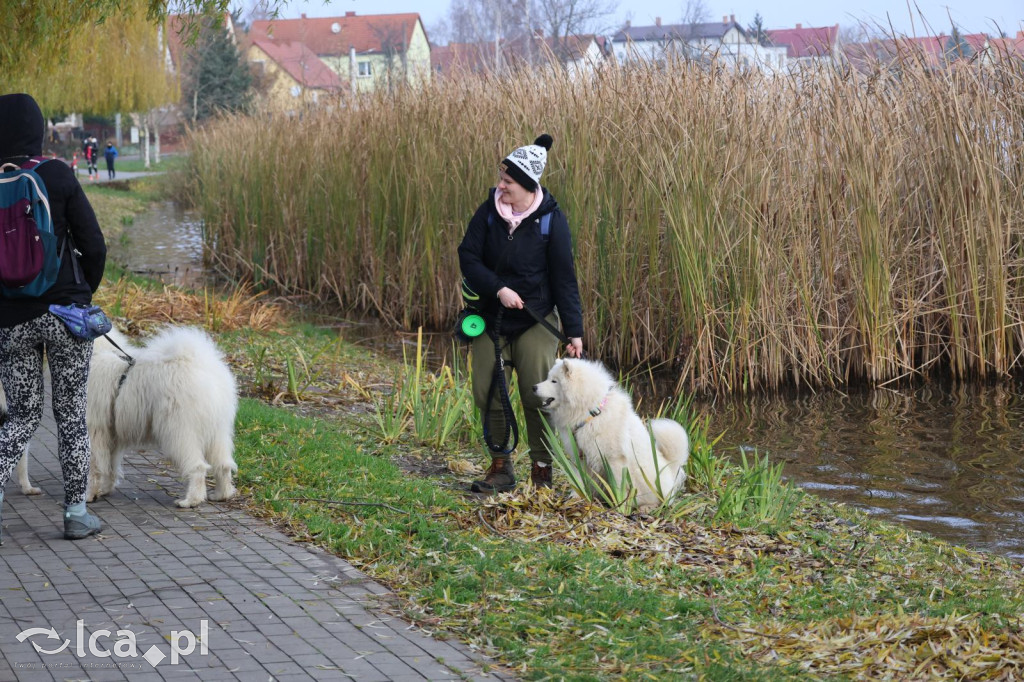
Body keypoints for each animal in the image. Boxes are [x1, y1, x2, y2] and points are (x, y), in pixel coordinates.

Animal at [14, 323, 238, 503]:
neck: (95, 356)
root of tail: (204, 369)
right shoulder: (111, 434)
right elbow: (110, 466)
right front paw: (105, 490)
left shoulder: (94, 430)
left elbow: (94, 466)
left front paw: (89, 496)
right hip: (217, 432)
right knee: (224, 465)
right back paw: (222, 495)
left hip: (179, 432)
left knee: (198, 467)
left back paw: (190, 501)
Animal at [532, 356, 692, 509]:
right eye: (548, 378)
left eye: (554, 381)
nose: (533, 387)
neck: (591, 414)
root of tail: (671, 471)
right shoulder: (580, 456)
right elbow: (578, 480)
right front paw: (575, 497)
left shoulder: (614, 460)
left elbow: (618, 485)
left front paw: (619, 504)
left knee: (659, 501)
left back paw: (646, 507)